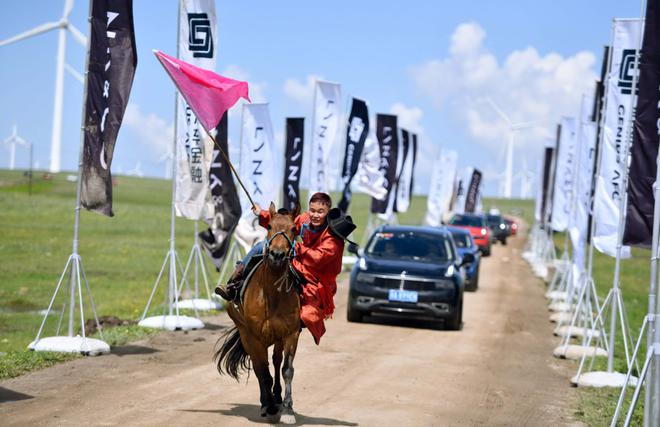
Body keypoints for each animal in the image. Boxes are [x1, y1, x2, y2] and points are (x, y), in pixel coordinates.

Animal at [214, 203, 302, 424]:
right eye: (269, 226)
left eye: (294, 229)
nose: (277, 254)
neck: (272, 295)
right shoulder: (255, 338)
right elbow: (263, 372)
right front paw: (269, 407)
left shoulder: (290, 334)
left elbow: (286, 370)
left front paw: (287, 409)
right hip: (246, 335)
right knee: (258, 367)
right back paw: (266, 402)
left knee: (276, 362)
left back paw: (277, 397)